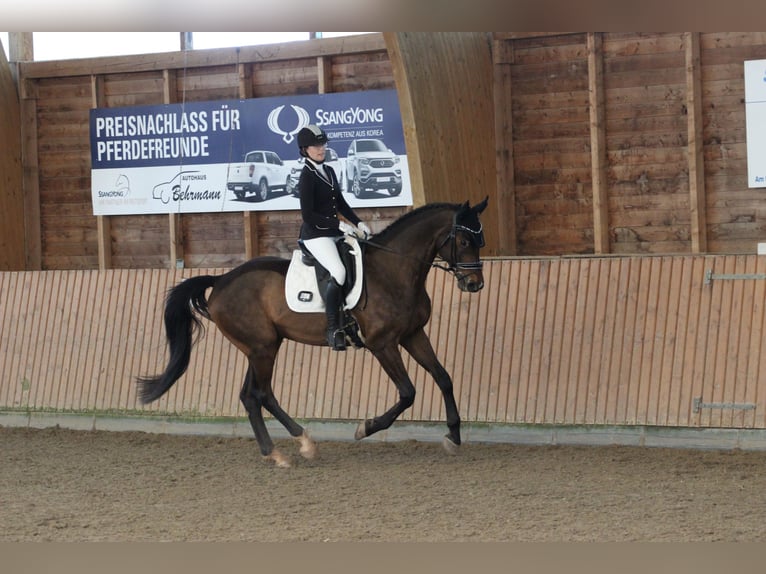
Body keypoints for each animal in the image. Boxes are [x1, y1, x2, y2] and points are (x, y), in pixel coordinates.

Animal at [137, 198, 489, 467]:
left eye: (480, 241)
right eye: (464, 241)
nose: (475, 285)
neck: (394, 271)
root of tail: (221, 280)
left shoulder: (413, 335)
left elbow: (443, 378)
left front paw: (453, 436)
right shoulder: (383, 344)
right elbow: (408, 392)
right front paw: (366, 428)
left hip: (262, 347)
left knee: (252, 396)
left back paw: (282, 450)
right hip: (263, 347)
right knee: (261, 394)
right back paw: (294, 447)